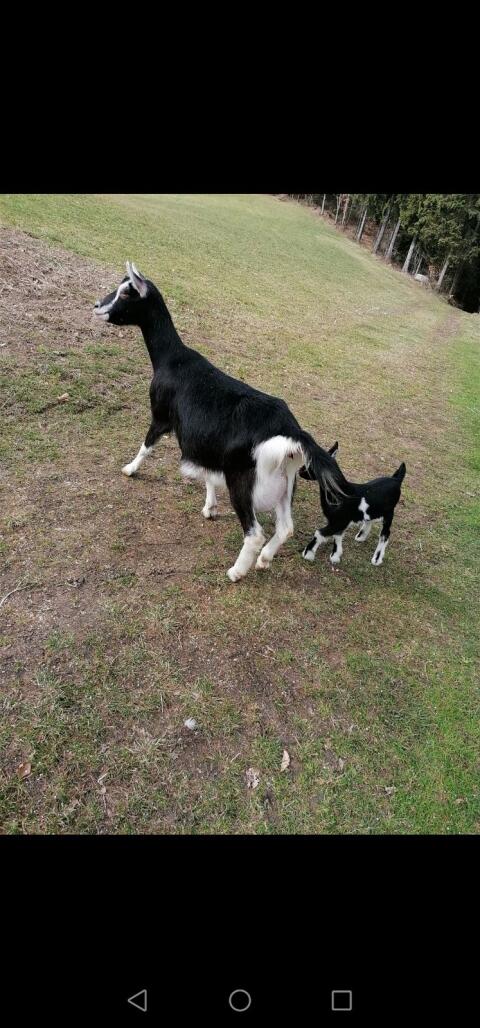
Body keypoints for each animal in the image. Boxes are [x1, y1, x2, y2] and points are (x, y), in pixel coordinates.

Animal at [94, 263, 347, 582]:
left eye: (127, 293)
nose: (97, 306)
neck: (172, 358)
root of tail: (290, 432)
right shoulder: (206, 445)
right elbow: (207, 475)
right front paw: (210, 508)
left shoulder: (162, 417)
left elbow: (147, 445)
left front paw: (129, 469)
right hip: (287, 483)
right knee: (285, 528)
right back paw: (264, 560)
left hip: (242, 481)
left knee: (254, 533)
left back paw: (236, 572)